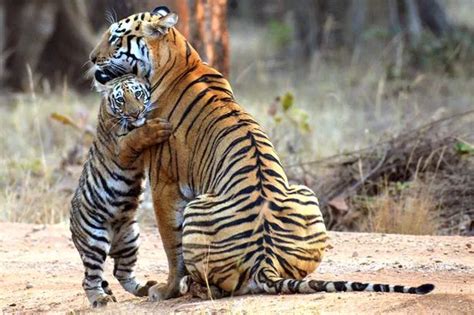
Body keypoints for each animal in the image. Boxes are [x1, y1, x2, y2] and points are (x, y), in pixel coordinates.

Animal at [69, 74, 173, 306]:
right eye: (121, 100)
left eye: (138, 94)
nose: (136, 113)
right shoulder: (122, 148)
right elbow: (138, 135)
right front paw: (156, 128)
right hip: (94, 241)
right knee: (89, 279)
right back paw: (100, 299)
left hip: (130, 239)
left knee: (121, 273)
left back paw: (145, 288)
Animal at [88, 6, 434, 302]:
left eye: (115, 38)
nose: (92, 58)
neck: (181, 58)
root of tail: (264, 263)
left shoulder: (164, 184)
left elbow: (172, 246)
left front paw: (167, 289)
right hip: (305, 195)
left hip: (199, 207)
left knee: (213, 285)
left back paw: (193, 288)